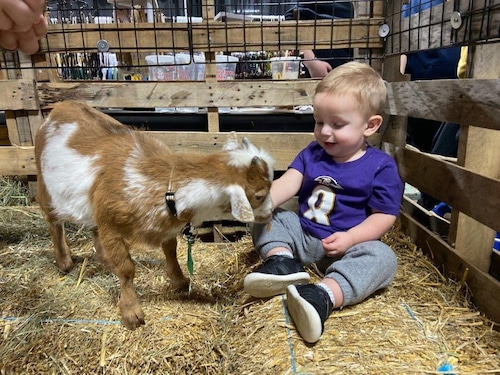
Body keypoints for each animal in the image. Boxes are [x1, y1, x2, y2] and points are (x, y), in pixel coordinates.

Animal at [35, 101, 276, 330]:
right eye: (259, 195)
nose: (271, 212)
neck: (160, 186)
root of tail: (60, 107)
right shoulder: (111, 226)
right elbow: (127, 269)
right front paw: (131, 313)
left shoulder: (164, 226)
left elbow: (170, 250)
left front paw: (180, 281)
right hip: (45, 188)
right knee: (53, 222)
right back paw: (64, 262)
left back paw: (103, 258)